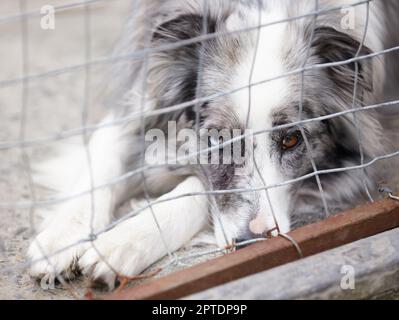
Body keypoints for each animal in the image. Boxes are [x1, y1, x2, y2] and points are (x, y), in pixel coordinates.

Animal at [28, 0, 399, 290]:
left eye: (292, 139)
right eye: (220, 139)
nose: (254, 242)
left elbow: (196, 185)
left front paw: (121, 244)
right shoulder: (138, 97)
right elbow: (102, 164)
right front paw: (60, 238)